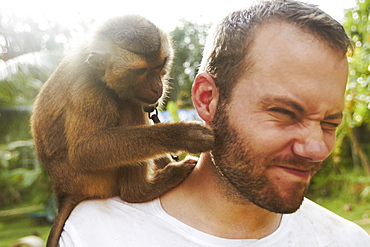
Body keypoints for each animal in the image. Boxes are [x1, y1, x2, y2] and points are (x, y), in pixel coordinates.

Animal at [31, 15, 214, 247]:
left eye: (159, 65)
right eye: (139, 71)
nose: (157, 87)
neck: (98, 72)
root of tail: (64, 191)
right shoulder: (88, 89)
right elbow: (85, 150)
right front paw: (184, 135)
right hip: (92, 180)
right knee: (129, 107)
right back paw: (138, 192)